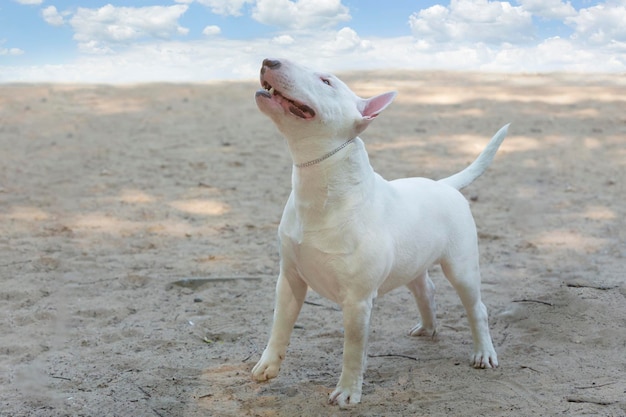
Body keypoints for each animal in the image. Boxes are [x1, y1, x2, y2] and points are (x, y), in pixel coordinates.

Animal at [249, 58, 508, 406]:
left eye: (326, 81)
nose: (269, 61)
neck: (320, 185)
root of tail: (445, 185)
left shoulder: (357, 301)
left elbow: (353, 350)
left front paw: (347, 392)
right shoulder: (289, 279)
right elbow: (279, 326)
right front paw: (267, 366)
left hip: (462, 268)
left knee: (477, 308)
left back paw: (483, 353)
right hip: (412, 262)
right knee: (426, 290)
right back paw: (427, 328)